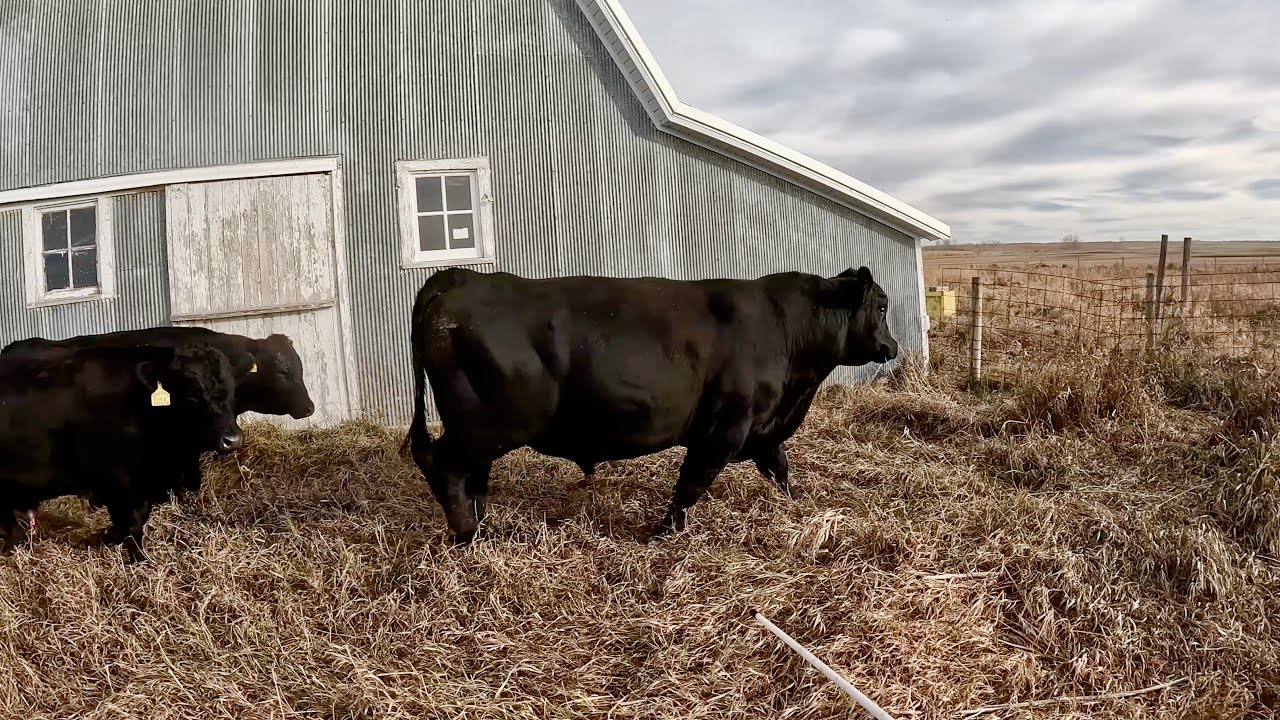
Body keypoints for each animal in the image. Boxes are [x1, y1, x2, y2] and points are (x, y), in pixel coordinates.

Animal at [0, 343, 245, 560]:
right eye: (192, 395)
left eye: (233, 392)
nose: (232, 440)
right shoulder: (117, 479)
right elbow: (132, 522)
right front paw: (138, 559)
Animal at [401, 265, 900, 546]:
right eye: (882, 306)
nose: (893, 346)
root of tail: (461, 278)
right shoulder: (725, 428)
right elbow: (691, 483)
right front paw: (663, 534)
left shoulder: (761, 428)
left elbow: (779, 469)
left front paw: (799, 507)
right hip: (487, 423)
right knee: (443, 465)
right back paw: (466, 536)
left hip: (480, 426)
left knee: (472, 476)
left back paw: (482, 526)